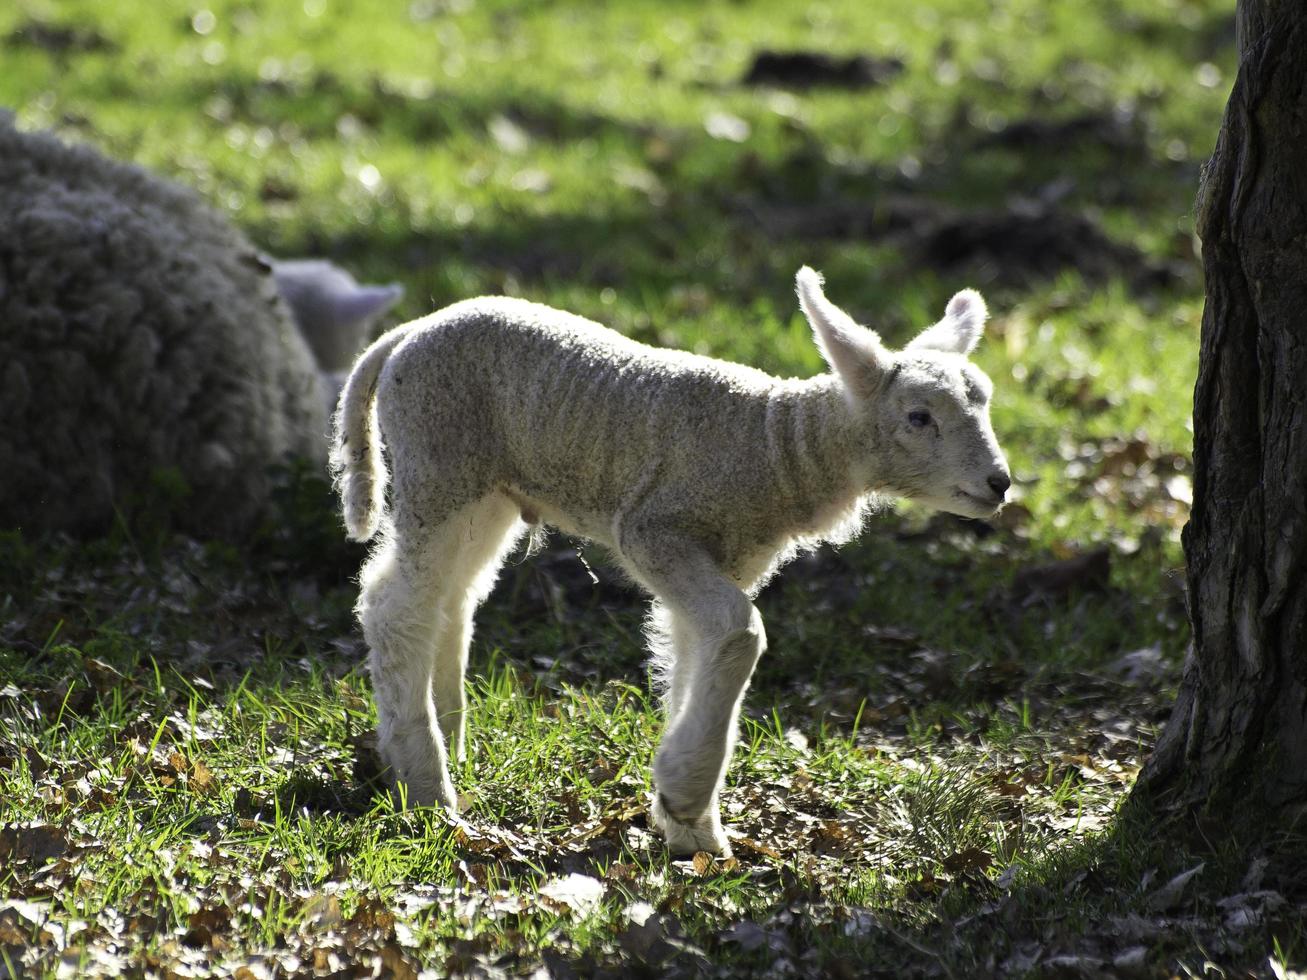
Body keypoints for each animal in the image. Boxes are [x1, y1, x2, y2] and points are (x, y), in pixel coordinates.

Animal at [334, 269, 1009, 857]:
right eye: (919, 417)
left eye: (985, 405)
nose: (1000, 484)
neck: (777, 447)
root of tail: (408, 332)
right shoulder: (655, 530)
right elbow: (739, 633)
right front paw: (685, 795)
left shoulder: (728, 555)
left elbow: (698, 649)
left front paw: (691, 831)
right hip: (440, 460)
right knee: (393, 606)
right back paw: (428, 789)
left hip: (487, 490)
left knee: (450, 599)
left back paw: (449, 746)